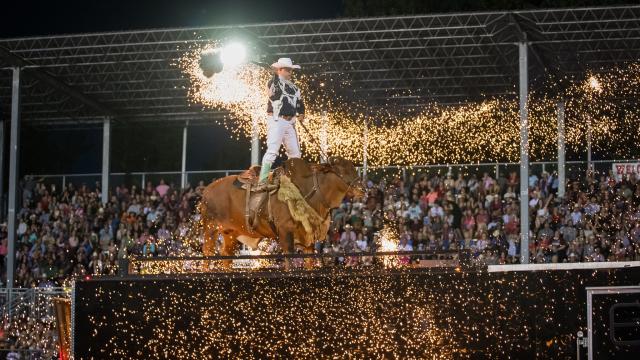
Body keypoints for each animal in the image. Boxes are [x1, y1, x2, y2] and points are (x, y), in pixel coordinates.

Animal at [198, 156, 362, 266]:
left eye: (354, 168)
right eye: (341, 169)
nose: (362, 188)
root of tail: (206, 191)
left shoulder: (308, 238)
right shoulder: (285, 233)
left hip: (231, 233)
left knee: (226, 255)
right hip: (211, 229)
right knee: (208, 254)